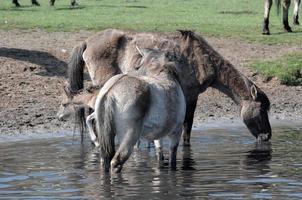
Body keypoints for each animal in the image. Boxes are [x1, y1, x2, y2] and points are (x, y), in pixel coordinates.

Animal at [68, 28, 272, 145]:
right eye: (262, 110)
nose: (267, 136)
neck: (201, 58)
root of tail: (87, 42)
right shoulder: (191, 95)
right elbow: (188, 125)